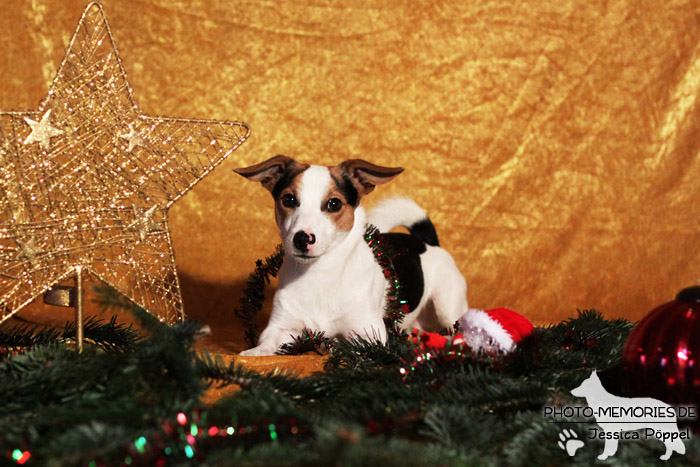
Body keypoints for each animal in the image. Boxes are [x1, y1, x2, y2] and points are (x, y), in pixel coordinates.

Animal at [235, 155, 470, 356]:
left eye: (334, 204)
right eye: (289, 199)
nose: (302, 239)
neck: (320, 275)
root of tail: (427, 242)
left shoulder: (370, 334)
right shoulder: (281, 326)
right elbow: (268, 341)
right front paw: (254, 353)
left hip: (447, 305)